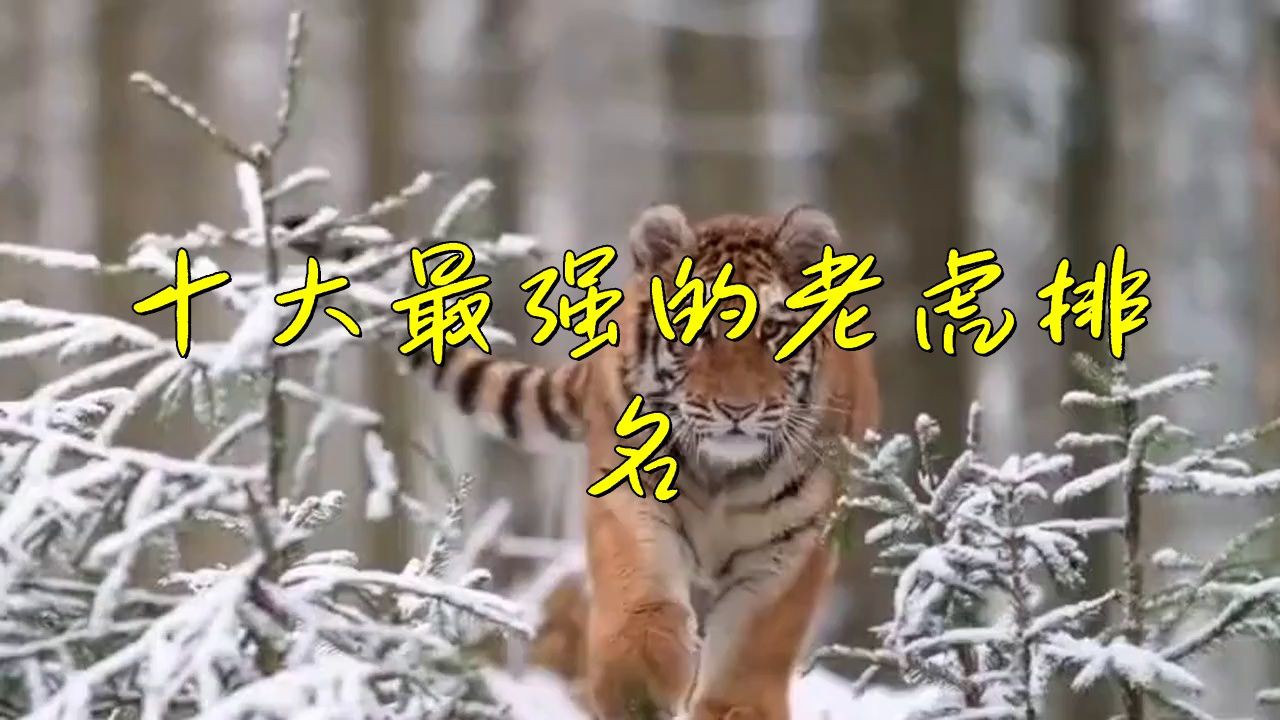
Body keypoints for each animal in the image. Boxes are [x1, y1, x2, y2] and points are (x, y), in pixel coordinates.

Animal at [415, 204, 880, 720]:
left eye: (773, 329)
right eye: (695, 330)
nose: (737, 409)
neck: (722, 478)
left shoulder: (790, 549)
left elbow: (747, 655)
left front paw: (732, 707)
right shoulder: (629, 506)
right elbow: (639, 612)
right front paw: (638, 692)